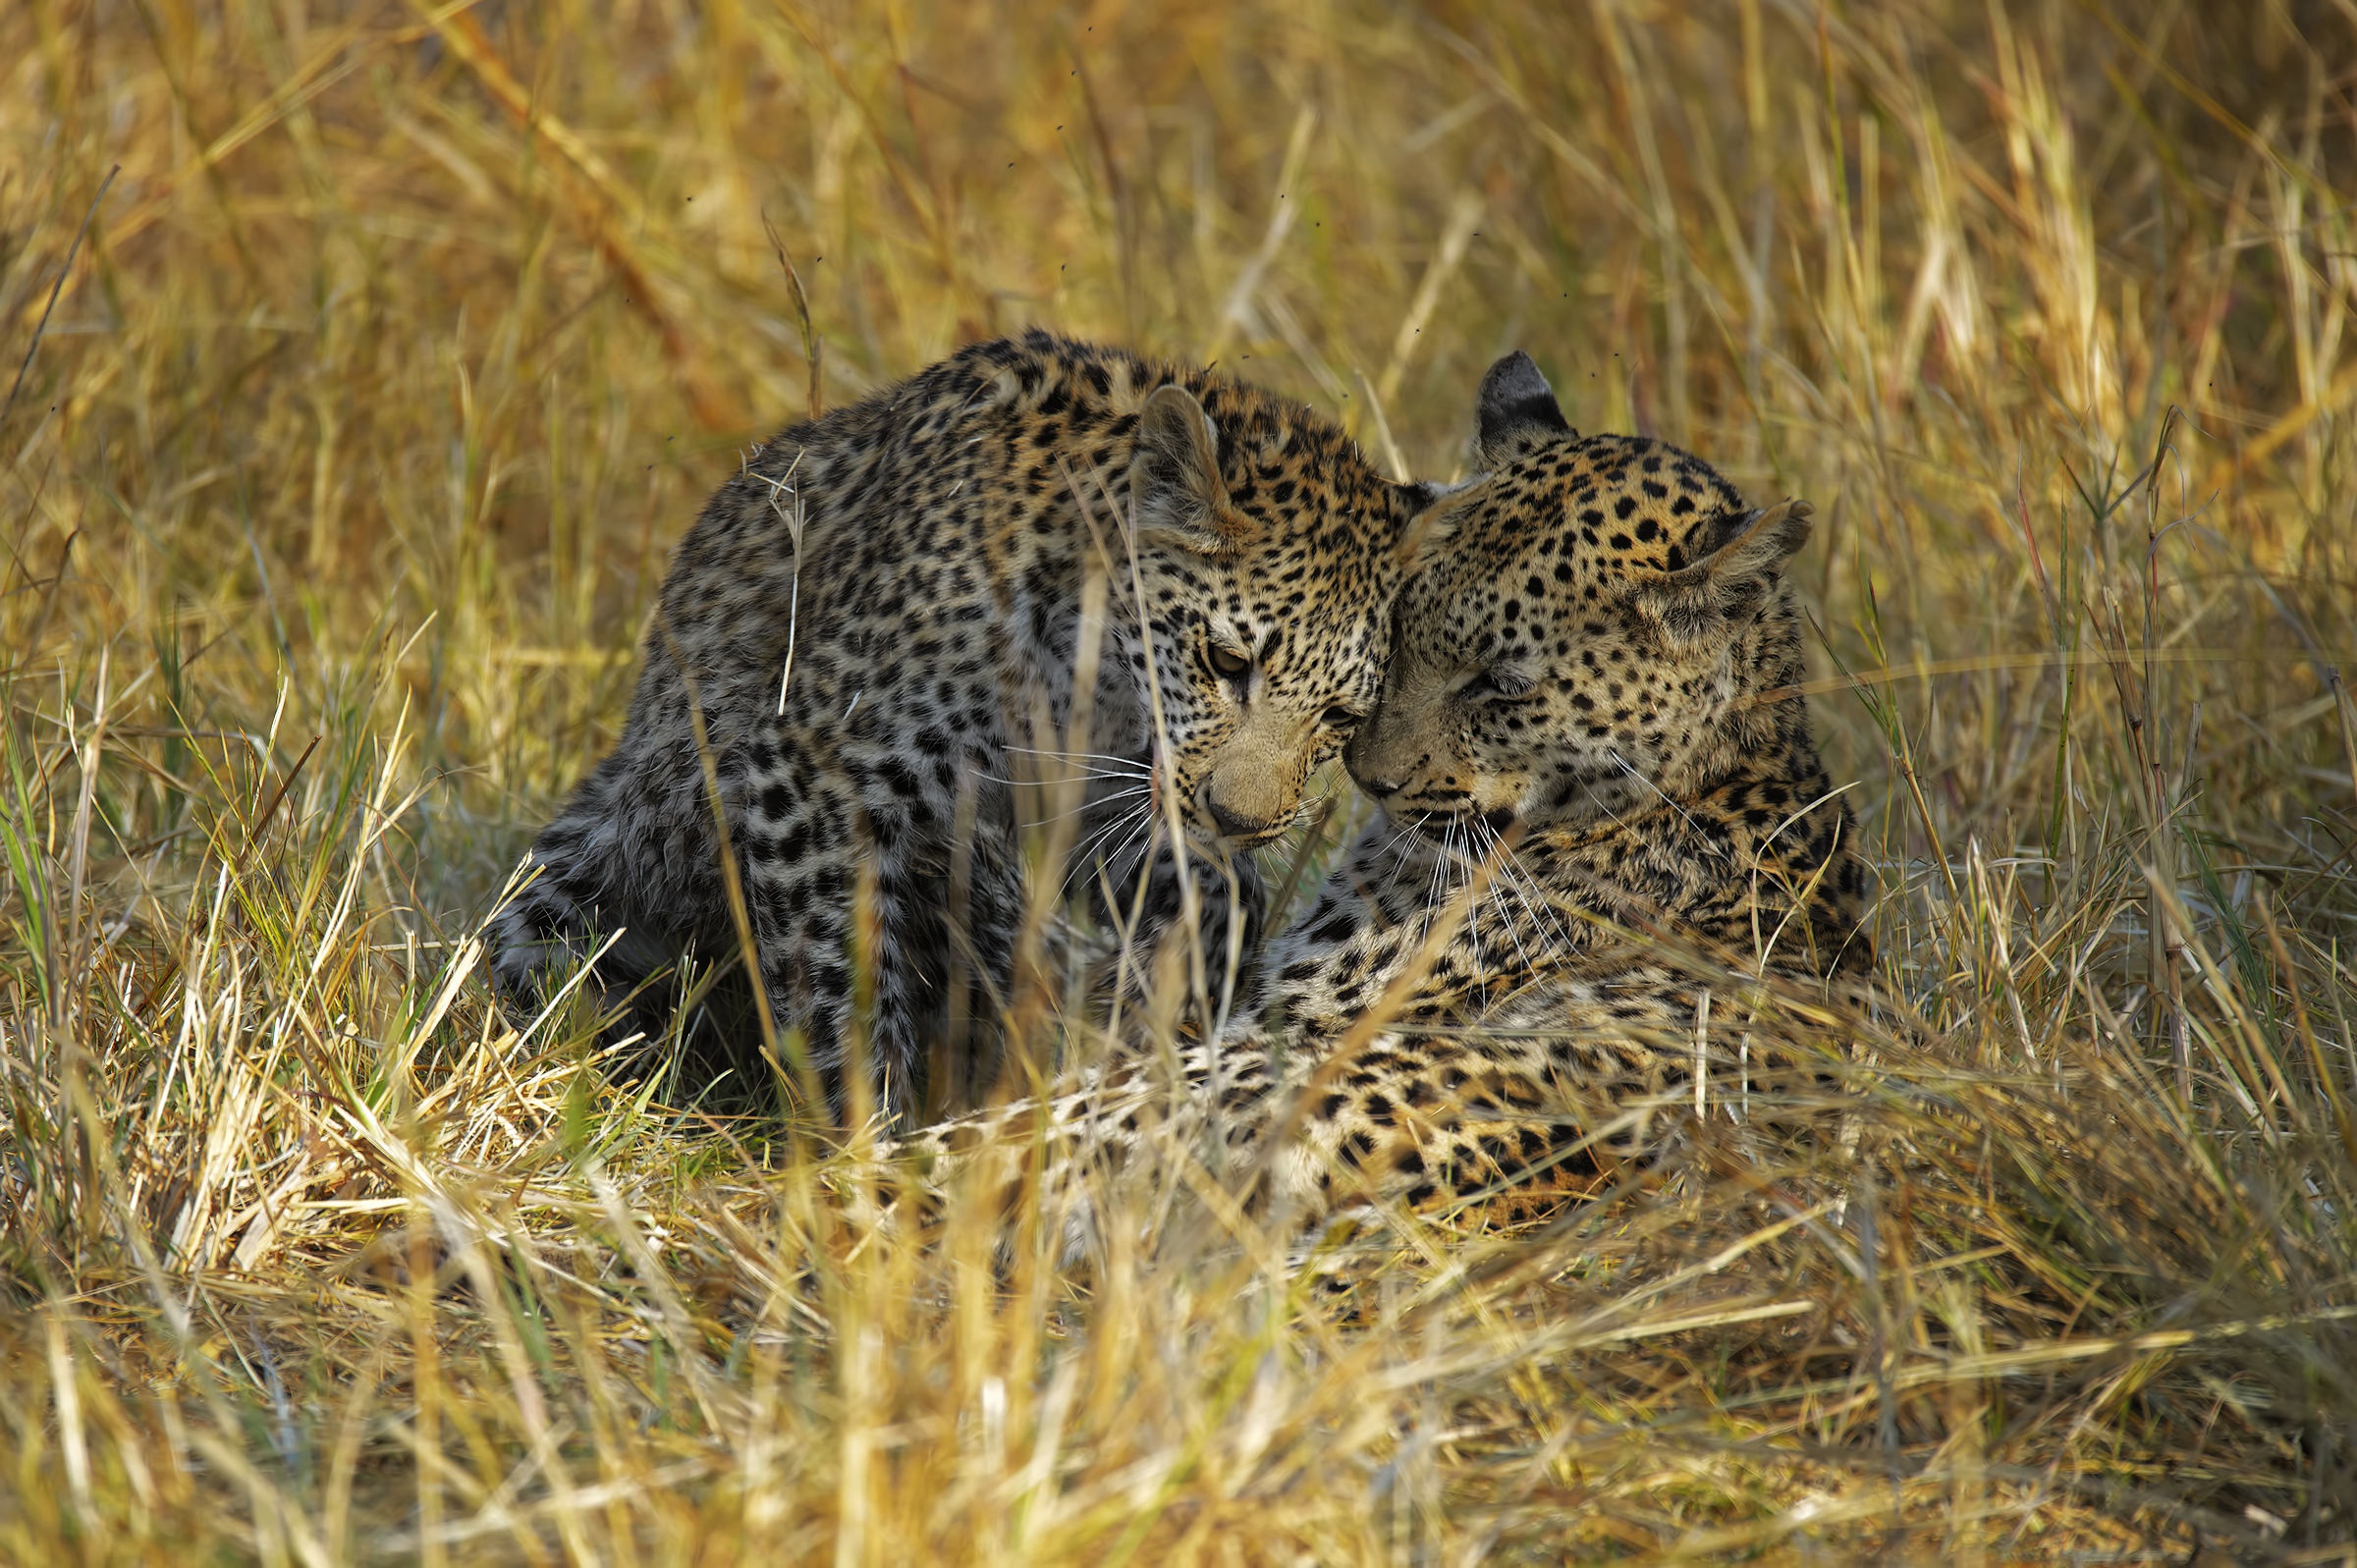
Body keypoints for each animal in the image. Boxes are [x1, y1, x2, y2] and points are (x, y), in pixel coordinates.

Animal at [502, 330, 1433, 1112]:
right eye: (1226, 661)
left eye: (1341, 715)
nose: (1241, 821)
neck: (1091, 675)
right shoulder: (813, 770)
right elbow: (840, 973)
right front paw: (863, 1141)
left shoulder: (1108, 805)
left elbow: (1219, 898)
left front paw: (1156, 1004)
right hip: (579, 881)